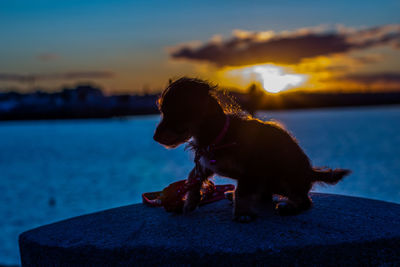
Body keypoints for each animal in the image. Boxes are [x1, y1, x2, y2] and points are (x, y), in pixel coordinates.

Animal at [153, 78, 350, 224]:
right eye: (162, 111)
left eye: (174, 112)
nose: (155, 137)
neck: (217, 134)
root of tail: (310, 172)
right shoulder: (204, 164)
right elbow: (193, 178)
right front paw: (189, 203)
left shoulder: (251, 169)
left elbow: (242, 191)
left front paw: (242, 214)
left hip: (287, 177)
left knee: (304, 201)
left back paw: (289, 207)